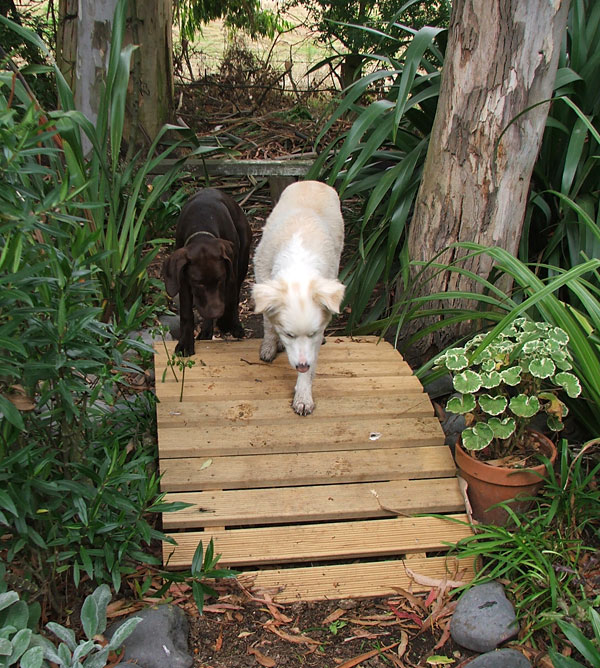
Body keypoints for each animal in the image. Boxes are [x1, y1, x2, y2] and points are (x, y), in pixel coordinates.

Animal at [163, 188, 252, 354]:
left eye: (220, 280)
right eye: (198, 284)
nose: (216, 313)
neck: (201, 227)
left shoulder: (230, 273)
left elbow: (230, 297)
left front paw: (225, 322)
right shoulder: (183, 279)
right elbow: (186, 313)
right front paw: (185, 343)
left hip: (242, 260)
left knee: (235, 294)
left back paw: (234, 325)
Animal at [253, 180, 346, 414]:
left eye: (313, 334)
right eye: (289, 334)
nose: (302, 365)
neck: (298, 264)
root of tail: (314, 182)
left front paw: (303, 396)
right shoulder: (262, 276)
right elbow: (268, 322)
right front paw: (269, 346)